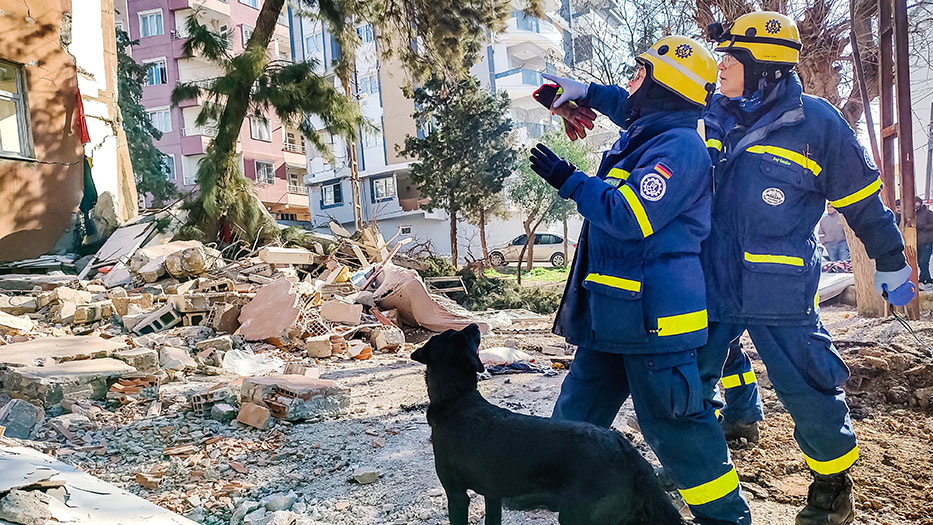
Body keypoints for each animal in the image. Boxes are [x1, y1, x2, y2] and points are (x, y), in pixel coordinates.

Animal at [410, 324, 684, 524]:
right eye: (462, 334)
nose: (475, 325)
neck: (457, 399)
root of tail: (629, 452)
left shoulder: (456, 495)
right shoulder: (492, 495)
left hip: (579, 516)